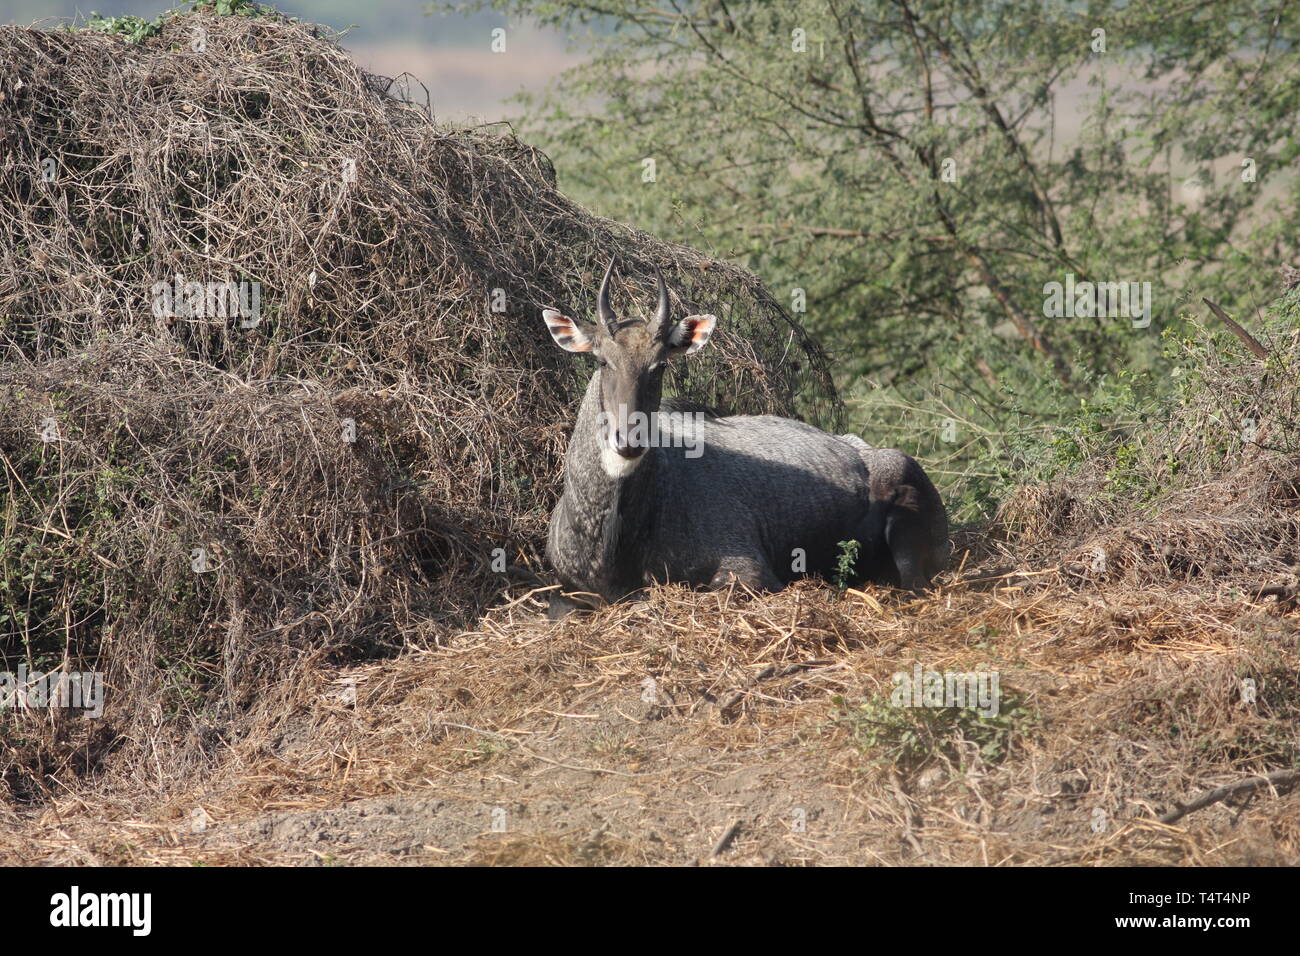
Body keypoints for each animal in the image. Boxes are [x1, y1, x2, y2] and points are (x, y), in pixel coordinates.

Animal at [538, 257, 946, 616]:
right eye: (601, 360)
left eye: (660, 365)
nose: (629, 440)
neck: (611, 539)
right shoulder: (565, 588)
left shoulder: (750, 569)